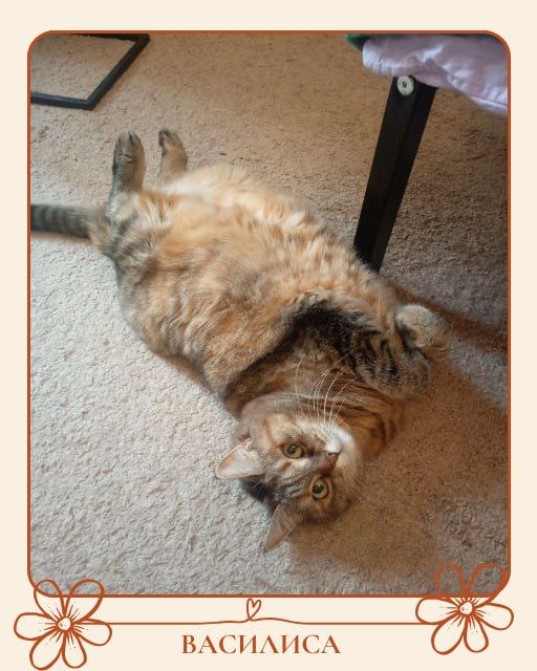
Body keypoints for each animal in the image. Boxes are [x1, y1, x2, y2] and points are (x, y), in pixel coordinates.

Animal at [31, 129, 449, 551]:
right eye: (317, 487)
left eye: (294, 450)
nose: (329, 457)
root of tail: (104, 240)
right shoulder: (333, 332)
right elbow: (407, 370)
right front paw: (419, 327)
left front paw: (410, 325)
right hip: (133, 229)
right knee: (120, 198)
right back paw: (130, 154)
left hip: (188, 191)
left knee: (164, 180)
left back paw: (166, 145)